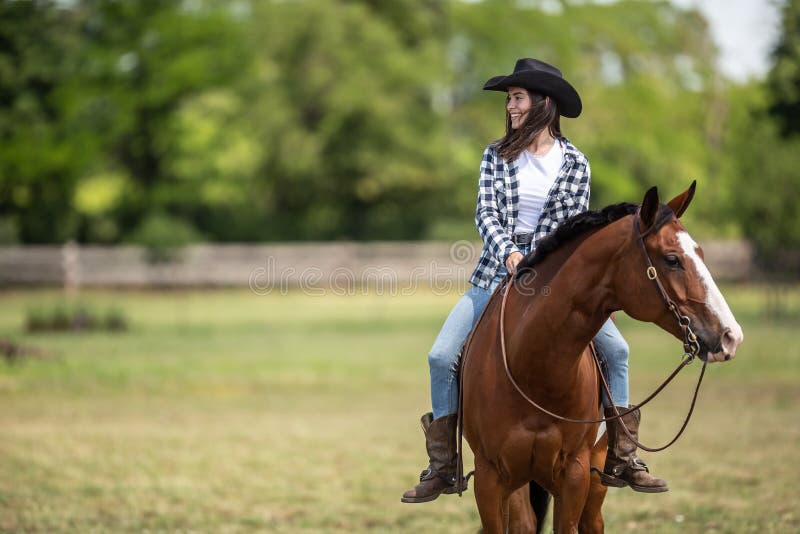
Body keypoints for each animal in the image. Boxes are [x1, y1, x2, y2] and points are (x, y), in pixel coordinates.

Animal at [462, 183, 744, 532]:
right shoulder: (491, 480)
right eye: (672, 259)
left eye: (700, 254)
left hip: (595, 482)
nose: (731, 335)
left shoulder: (575, 475)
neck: (532, 368)